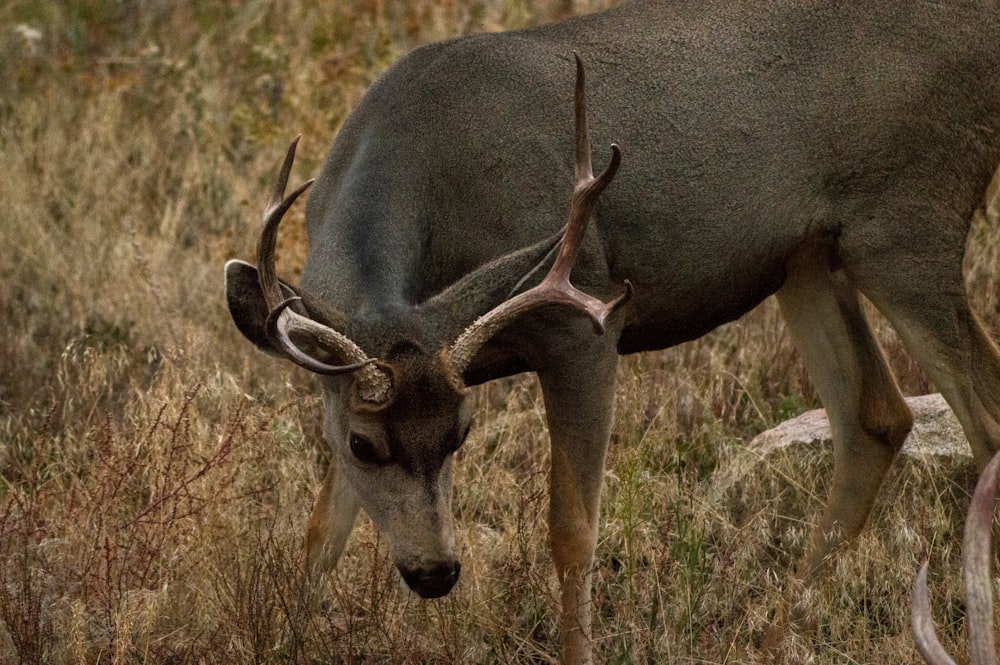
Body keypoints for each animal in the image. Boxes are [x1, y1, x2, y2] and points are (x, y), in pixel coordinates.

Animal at [223, 2, 1000, 660]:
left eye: (462, 434)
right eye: (362, 443)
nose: (437, 571)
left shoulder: (586, 324)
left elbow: (572, 531)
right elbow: (320, 533)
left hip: (907, 223)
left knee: (983, 420)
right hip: (809, 255)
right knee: (877, 416)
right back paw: (777, 640)